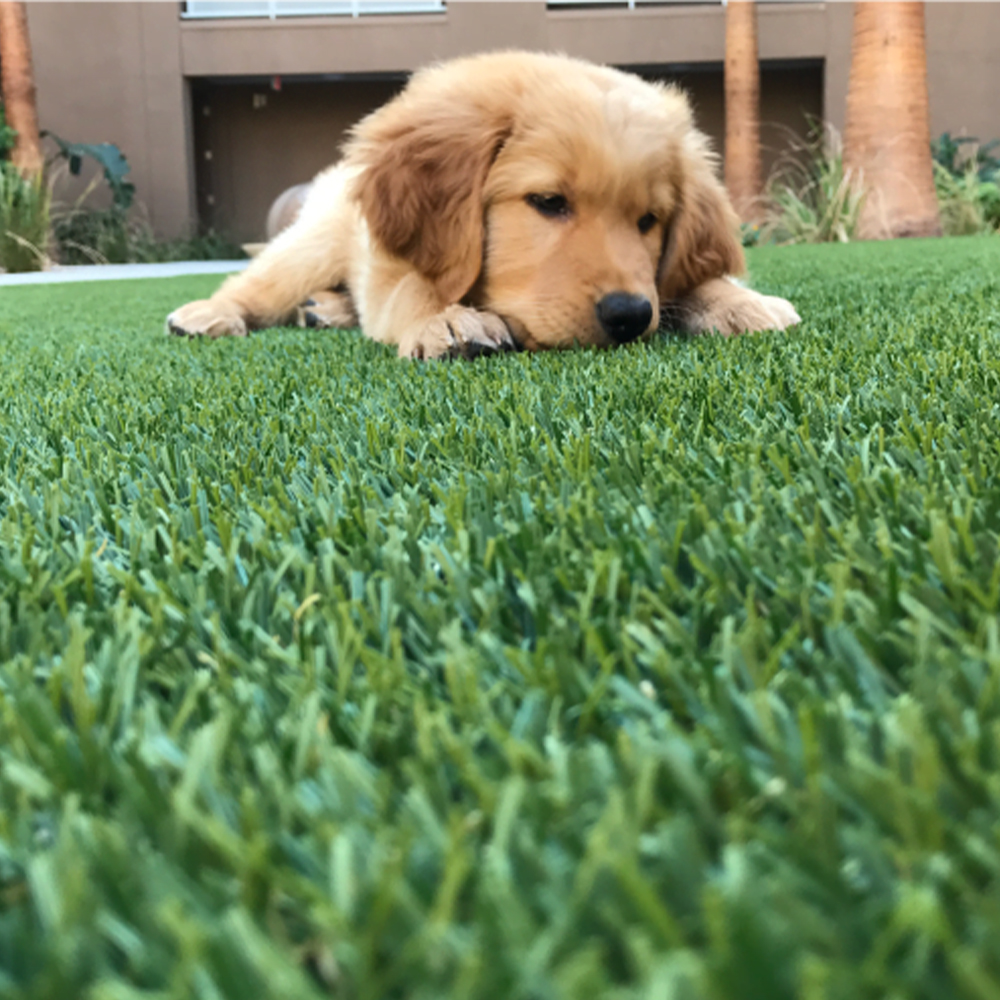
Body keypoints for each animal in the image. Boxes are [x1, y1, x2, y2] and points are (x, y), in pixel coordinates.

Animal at [170, 49, 796, 360]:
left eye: (650, 221)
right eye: (548, 201)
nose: (628, 315)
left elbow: (683, 283)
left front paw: (739, 302)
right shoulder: (390, 266)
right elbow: (413, 288)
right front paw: (446, 319)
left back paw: (326, 310)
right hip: (314, 241)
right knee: (258, 284)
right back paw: (207, 314)